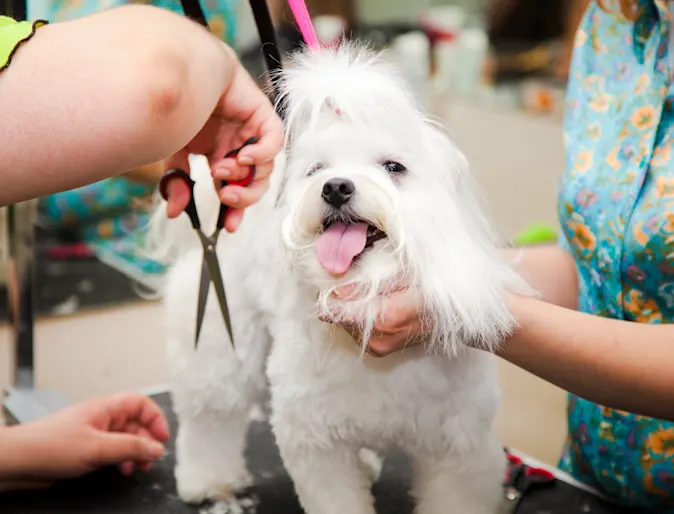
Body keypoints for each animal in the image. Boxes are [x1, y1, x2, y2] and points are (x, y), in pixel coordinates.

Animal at [150, 42, 528, 510]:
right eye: (316, 170)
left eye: (394, 167)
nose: (336, 187)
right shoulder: (316, 444)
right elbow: (333, 494)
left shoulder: (462, 448)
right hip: (218, 341)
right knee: (211, 416)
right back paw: (207, 480)